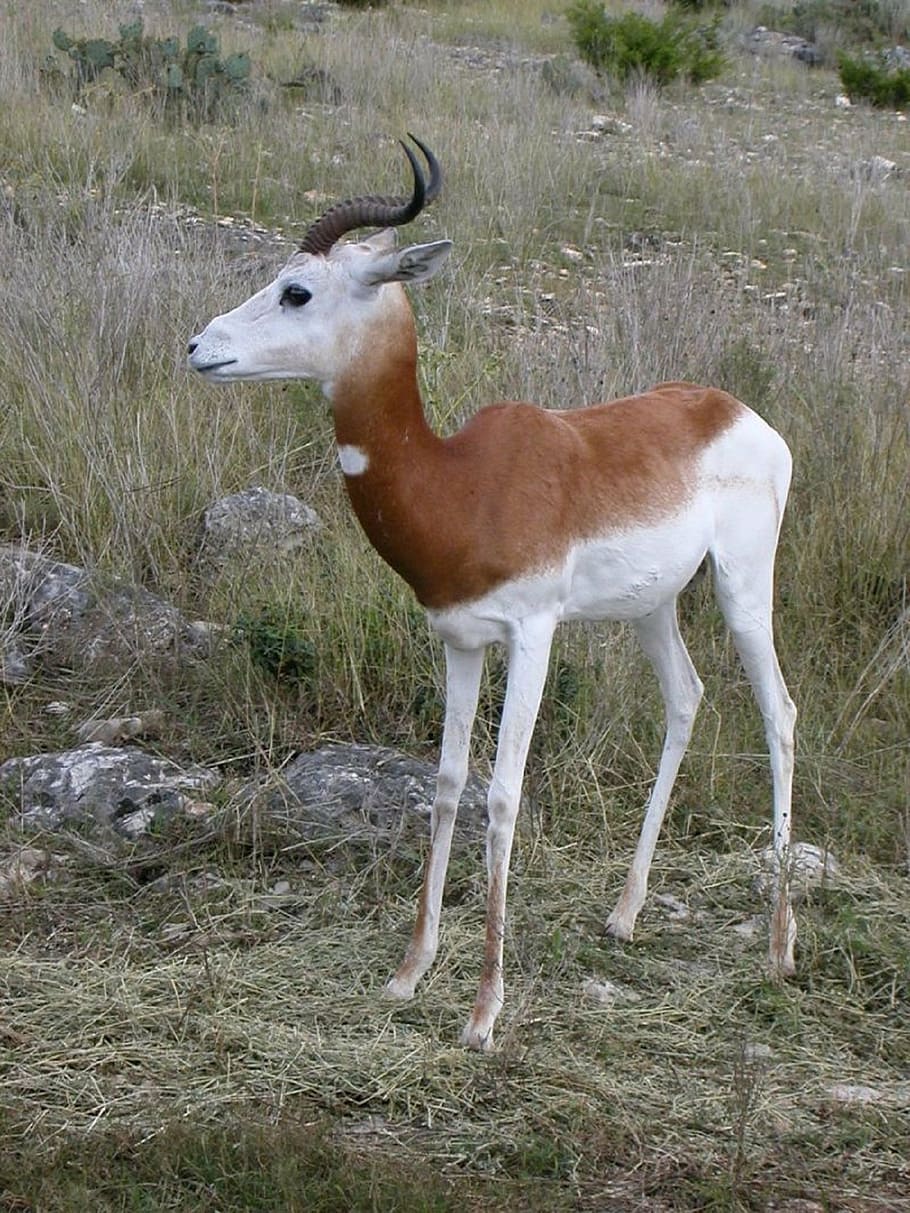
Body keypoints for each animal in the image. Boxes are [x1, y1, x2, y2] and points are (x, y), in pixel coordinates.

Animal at [188, 136, 797, 1051]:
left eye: (297, 290)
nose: (199, 346)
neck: (462, 482)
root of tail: (742, 413)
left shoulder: (533, 635)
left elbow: (505, 793)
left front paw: (483, 1010)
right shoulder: (459, 637)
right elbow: (447, 782)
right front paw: (409, 971)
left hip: (742, 587)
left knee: (778, 714)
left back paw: (780, 948)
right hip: (653, 606)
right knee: (686, 697)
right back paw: (624, 915)